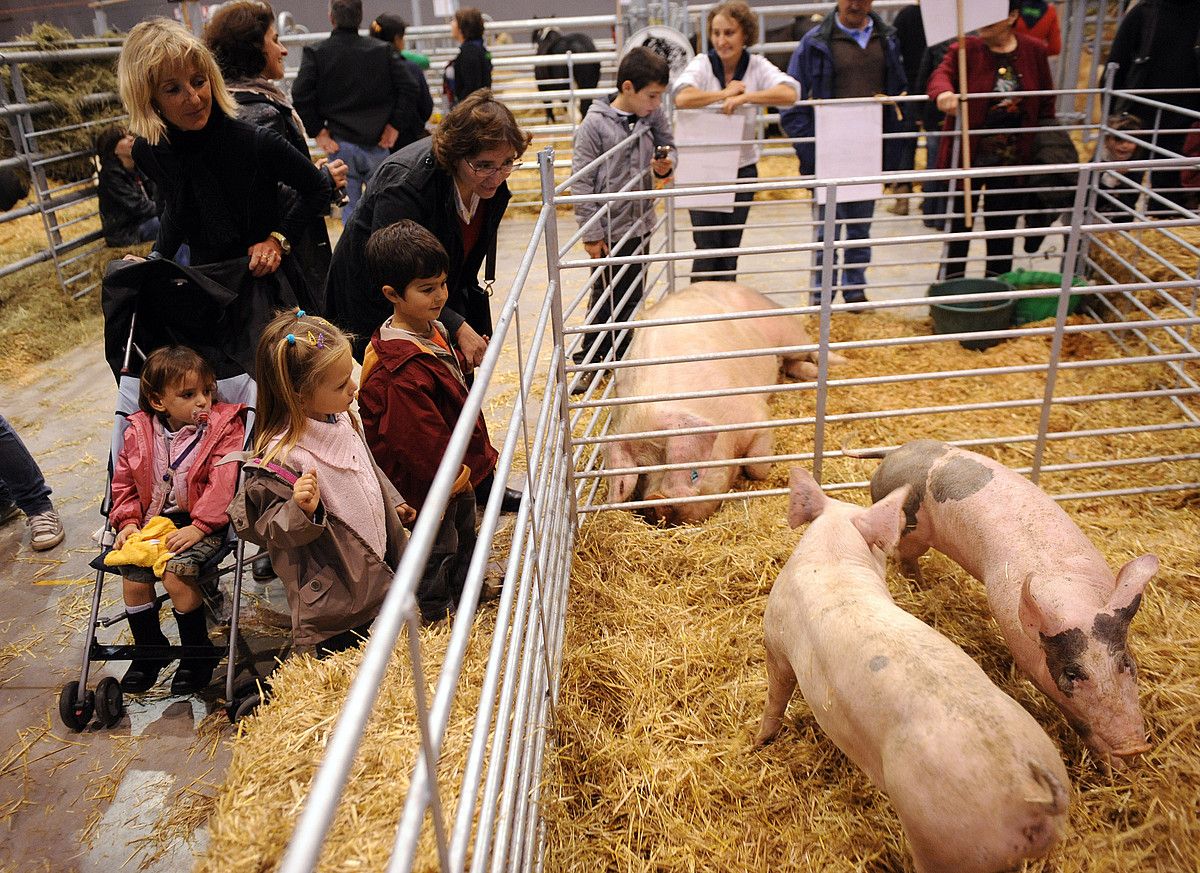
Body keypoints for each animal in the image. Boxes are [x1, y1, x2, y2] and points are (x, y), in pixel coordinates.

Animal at [600, 283, 844, 522]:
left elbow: (757, 466)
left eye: (694, 474)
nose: (655, 503)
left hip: (786, 330)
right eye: (643, 472)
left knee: (810, 348)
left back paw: (839, 363)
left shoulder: (757, 415)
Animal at [758, 470, 1070, 873]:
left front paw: (759, 741)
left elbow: (777, 692)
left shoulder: (775, 639)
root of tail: (1031, 793)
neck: (831, 561)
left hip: (939, 838)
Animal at [868, 438, 1156, 767]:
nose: (1133, 746)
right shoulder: (1029, 660)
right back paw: (921, 585)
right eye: (1072, 673)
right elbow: (1076, 718)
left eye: (1126, 662)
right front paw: (1113, 766)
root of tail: (892, 453)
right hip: (910, 532)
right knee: (904, 558)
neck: (1072, 599)